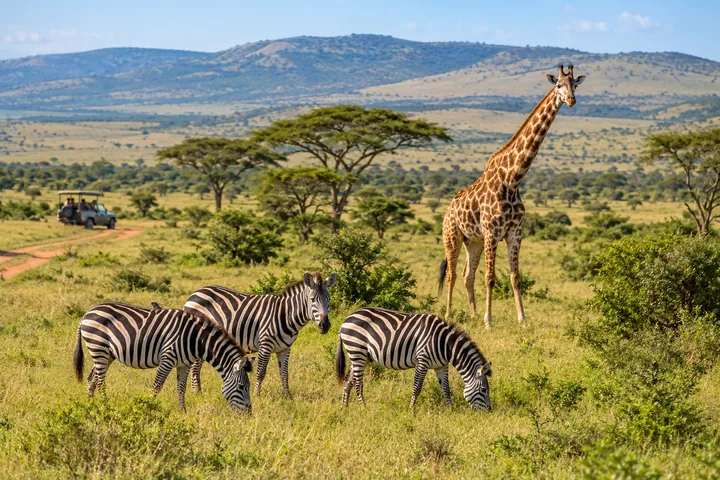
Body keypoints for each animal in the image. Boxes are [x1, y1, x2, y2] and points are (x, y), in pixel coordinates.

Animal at [73, 303, 254, 413]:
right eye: (241, 387)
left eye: (248, 387)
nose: (248, 414)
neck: (195, 339)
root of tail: (86, 314)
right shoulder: (167, 358)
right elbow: (157, 386)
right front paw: (148, 408)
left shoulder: (184, 364)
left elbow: (181, 388)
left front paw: (183, 411)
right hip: (99, 348)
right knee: (100, 382)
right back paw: (105, 406)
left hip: (106, 353)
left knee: (91, 379)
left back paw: (91, 406)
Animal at [184, 271, 337, 398]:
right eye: (312, 299)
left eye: (329, 299)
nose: (325, 325)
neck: (286, 314)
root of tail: (196, 292)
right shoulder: (265, 345)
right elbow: (261, 372)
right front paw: (257, 395)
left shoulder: (285, 349)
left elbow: (284, 374)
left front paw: (287, 397)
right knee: (195, 368)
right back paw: (198, 394)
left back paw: (198, 393)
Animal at [335, 307, 492, 410]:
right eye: (484, 390)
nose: (489, 411)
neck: (444, 344)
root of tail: (346, 319)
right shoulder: (422, 361)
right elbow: (416, 388)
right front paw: (411, 410)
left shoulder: (441, 365)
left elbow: (446, 389)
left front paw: (450, 410)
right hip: (357, 351)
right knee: (358, 383)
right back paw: (364, 408)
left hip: (359, 355)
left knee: (349, 380)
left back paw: (344, 407)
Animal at [438, 64, 585, 329]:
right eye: (559, 85)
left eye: (575, 85)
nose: (571, 100)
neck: (513, 179)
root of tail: (447, 210)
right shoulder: (492, 233)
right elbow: (490, 277)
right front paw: (489, 321)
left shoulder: (515, 233)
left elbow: (515, 276)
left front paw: (522, 318)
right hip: (452, 237)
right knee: (452, 274)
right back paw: (449, 315)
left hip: (473, 241)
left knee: (467, 274)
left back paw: (472, 314)